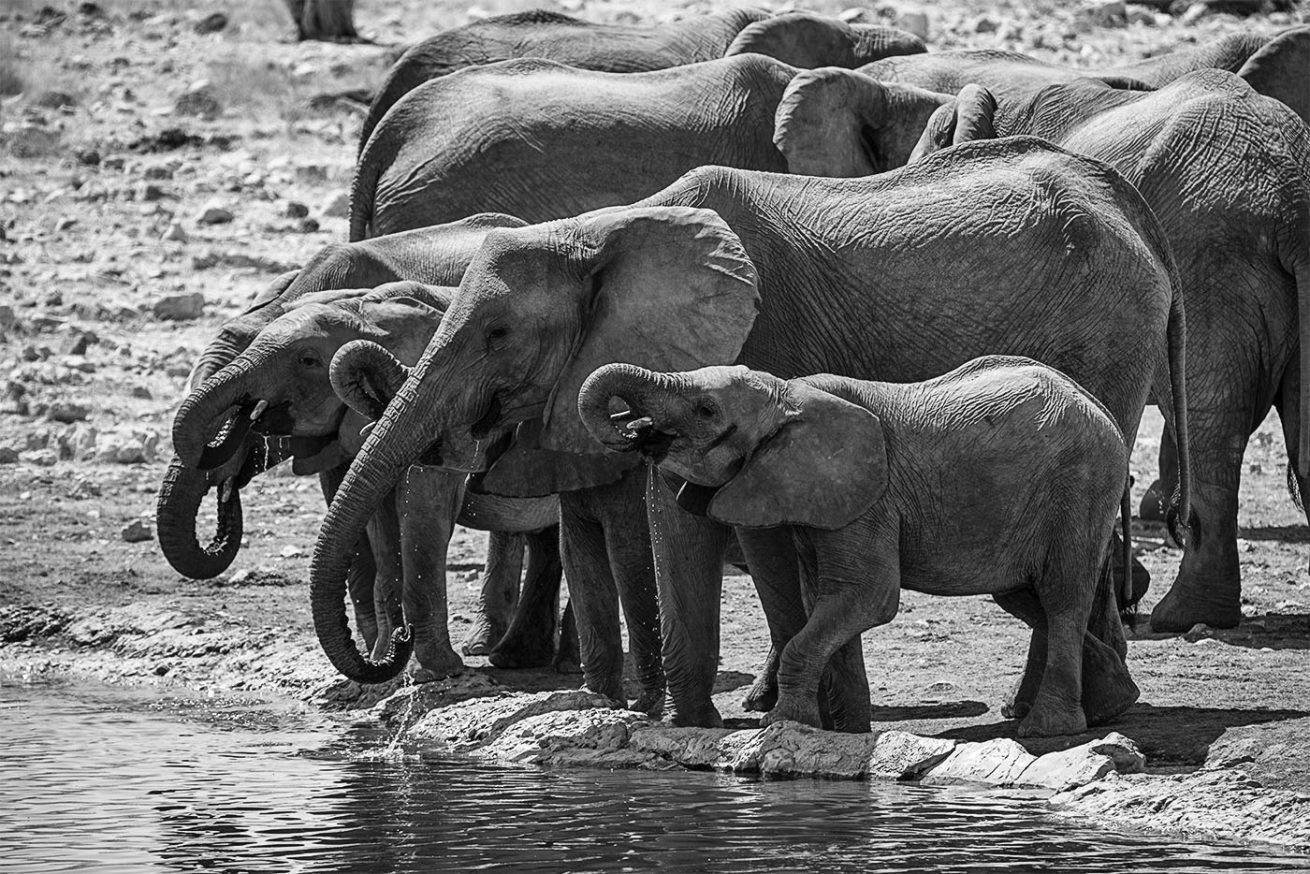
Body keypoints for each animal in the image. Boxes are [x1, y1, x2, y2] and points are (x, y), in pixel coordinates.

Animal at [577, 357, 1138, 737]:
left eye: (706, 409)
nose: (636, 429)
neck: (787, 392)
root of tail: (1098, 406)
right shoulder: (822, 496)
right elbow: (826, 600)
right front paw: (842, 734)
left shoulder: (871, 496)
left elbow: (867, 596)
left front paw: (783, 726)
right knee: (1025, 595)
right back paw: (1111, 703)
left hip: (1082, 485)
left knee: (1061, 594)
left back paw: (1046, 729)